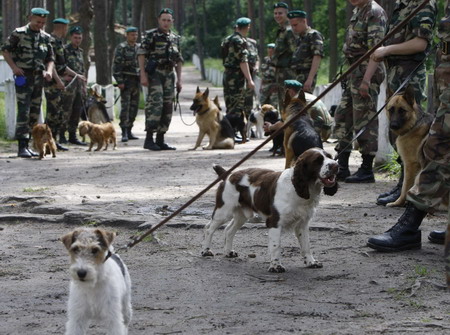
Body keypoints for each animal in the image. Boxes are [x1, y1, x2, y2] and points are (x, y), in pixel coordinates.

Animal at [202, 149, 340, 272]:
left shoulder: (303, 224)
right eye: (317, 160)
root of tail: (228, 176)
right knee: (209, 228)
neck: (297, 189)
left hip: (241, 215)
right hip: (224, 211)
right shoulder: (274, 222)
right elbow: (276, 246)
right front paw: (276, 266)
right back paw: (206, 250)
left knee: (229, 230)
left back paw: (228, 252)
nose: (336, 165)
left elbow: (306, 246)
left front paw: (311, 262)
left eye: (330, 157)